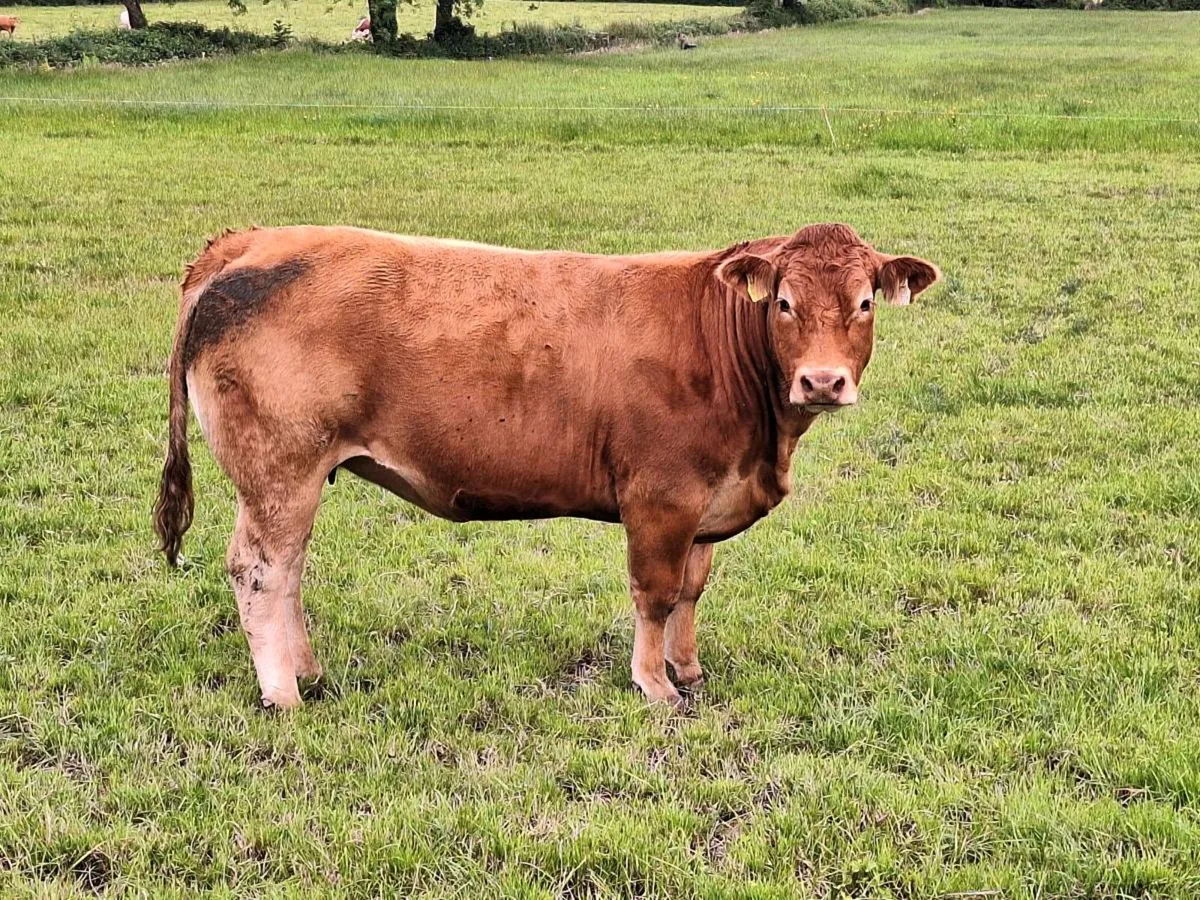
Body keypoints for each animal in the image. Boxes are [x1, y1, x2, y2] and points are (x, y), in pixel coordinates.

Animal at [154, 224, 939, 710]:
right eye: (782, 302)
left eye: (864, 303)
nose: (822, 381)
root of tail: (246, 244)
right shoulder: (661, 496)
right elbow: (655, 594)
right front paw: (654, 685)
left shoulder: (707, 500)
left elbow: (691, 590)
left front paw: (688, 669)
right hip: (279, 469)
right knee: (260, 570)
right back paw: (284, 693)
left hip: (295, 476)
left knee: (288, 570)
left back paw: (309, 672)